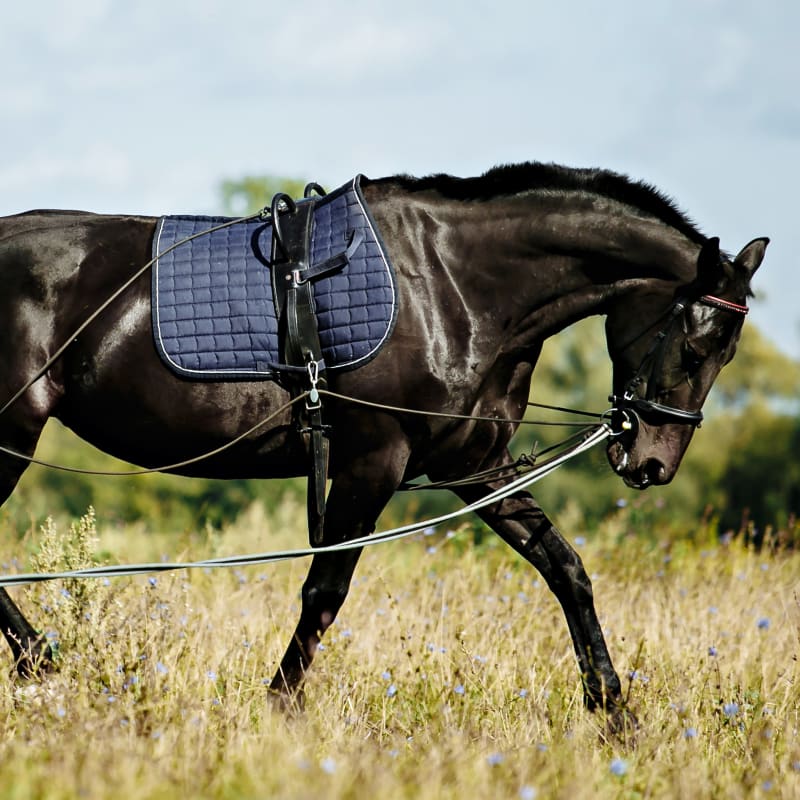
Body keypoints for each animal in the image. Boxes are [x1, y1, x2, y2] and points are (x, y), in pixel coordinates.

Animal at [0, 162, 764, 724]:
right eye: (697, 346)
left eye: (727, 353)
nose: (652, 463)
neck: (454, 286)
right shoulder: (374, 463)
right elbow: (325, 590)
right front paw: (279, 708)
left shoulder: (476, 467)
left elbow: (567, 570)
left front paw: (613, 712)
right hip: (11, 438)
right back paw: (47, 667)